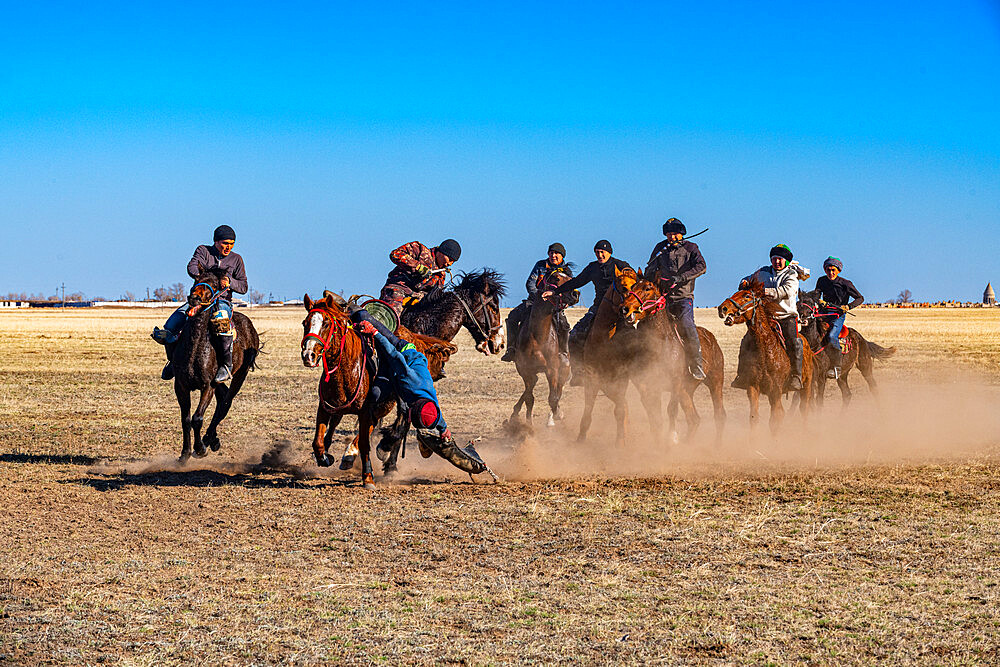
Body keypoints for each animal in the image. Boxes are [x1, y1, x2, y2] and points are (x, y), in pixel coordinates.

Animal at [168, 268, 262, 462]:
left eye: (215, 284)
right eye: (196, 279)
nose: (194, 298)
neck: (196, 348)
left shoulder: (207, 386)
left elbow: (197, 418)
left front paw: (199, 449)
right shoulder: (180, 386)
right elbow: (186, 419)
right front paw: (185, 453)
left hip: (240, 375)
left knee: (226, 403)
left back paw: (208, 439)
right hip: (219, 382)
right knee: (222, 398)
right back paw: (213, 439)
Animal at [512, 272, 576, 428]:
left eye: (570, 278)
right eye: (557, 278)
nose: (575, 294)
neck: (538, 336)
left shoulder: (552, 370)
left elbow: (553, 398)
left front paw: (556, 415)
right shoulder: (525, 369)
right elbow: (529, 397)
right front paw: (528, 424)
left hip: (564, 368)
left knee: (558, 390)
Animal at [616, 266, 728, 444]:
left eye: (647, 288)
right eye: (633, 287)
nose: (624, 308)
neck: (660, 344)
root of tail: (711, 338)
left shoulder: (676, 383)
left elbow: (671, 410)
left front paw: (671, 437)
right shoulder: (648, 385)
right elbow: (653, 415)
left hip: (715, 381)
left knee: (719, 415)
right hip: (687, 390)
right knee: (694, 419)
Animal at [720, 280, 812, 434]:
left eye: (746, 295)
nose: (722, 308)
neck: (765, 348)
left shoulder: (775, 390)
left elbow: (775, 420)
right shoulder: (753, 387)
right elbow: (754, 418)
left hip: (806, 385)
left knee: (804, 410)